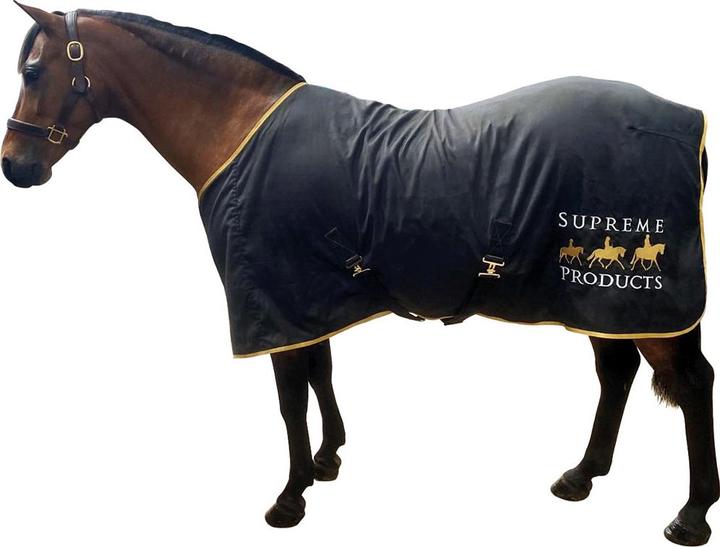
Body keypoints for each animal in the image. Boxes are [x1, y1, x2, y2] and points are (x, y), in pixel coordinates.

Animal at [1, 6, 716, 545]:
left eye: (34, 70)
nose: (15, 166)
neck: (240, 132)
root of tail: (686, 125)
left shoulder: (275, 298)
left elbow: (290, 398)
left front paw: (290, 498)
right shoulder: (305, 296)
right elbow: (320, 373)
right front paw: (328, 459)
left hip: (644, 307)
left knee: (690, 384)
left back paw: (690, 515)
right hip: (603, 303)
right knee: (616, 374)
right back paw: (582, 475)